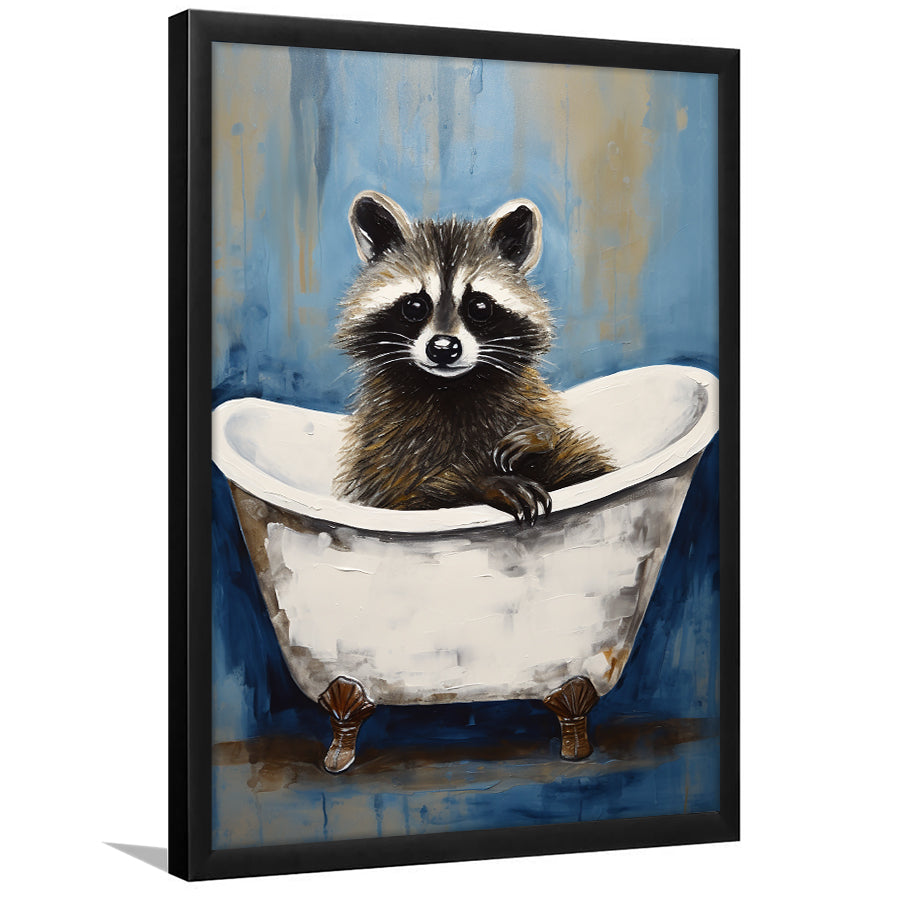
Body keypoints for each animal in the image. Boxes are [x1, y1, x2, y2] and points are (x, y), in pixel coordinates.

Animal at [333, 190, 614, 525]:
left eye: (479, 307)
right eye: (414, 306)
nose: (443, 348)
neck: (451, 386)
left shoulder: (525, 398)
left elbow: (574, 449)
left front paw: (540, 436)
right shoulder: (386, 438)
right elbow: (411, 490)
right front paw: (485, 482)